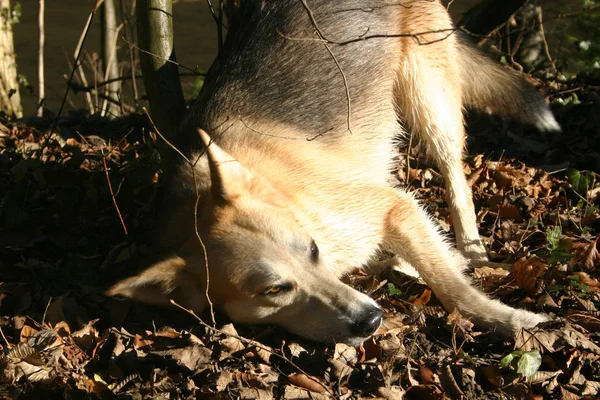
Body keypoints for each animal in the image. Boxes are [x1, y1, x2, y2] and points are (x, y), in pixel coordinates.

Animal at [108, 0, 556, 346]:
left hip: (428, 99)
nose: (371, 321)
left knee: (455, 178)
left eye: (311, 250)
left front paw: (511, 321)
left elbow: (454, 289)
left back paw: (471, 249)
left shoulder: (393, 209)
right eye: (273, 290)